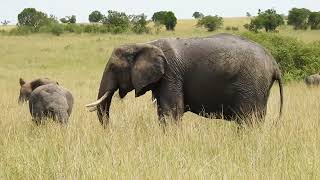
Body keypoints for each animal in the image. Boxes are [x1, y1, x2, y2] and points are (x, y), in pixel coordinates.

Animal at [87, 34, 282, 126]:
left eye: (113, 68)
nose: (110, 130)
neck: (145, 44)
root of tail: (274, 64)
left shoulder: (171, 74)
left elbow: (171, 112)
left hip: (251, 84)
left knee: (248, 120)